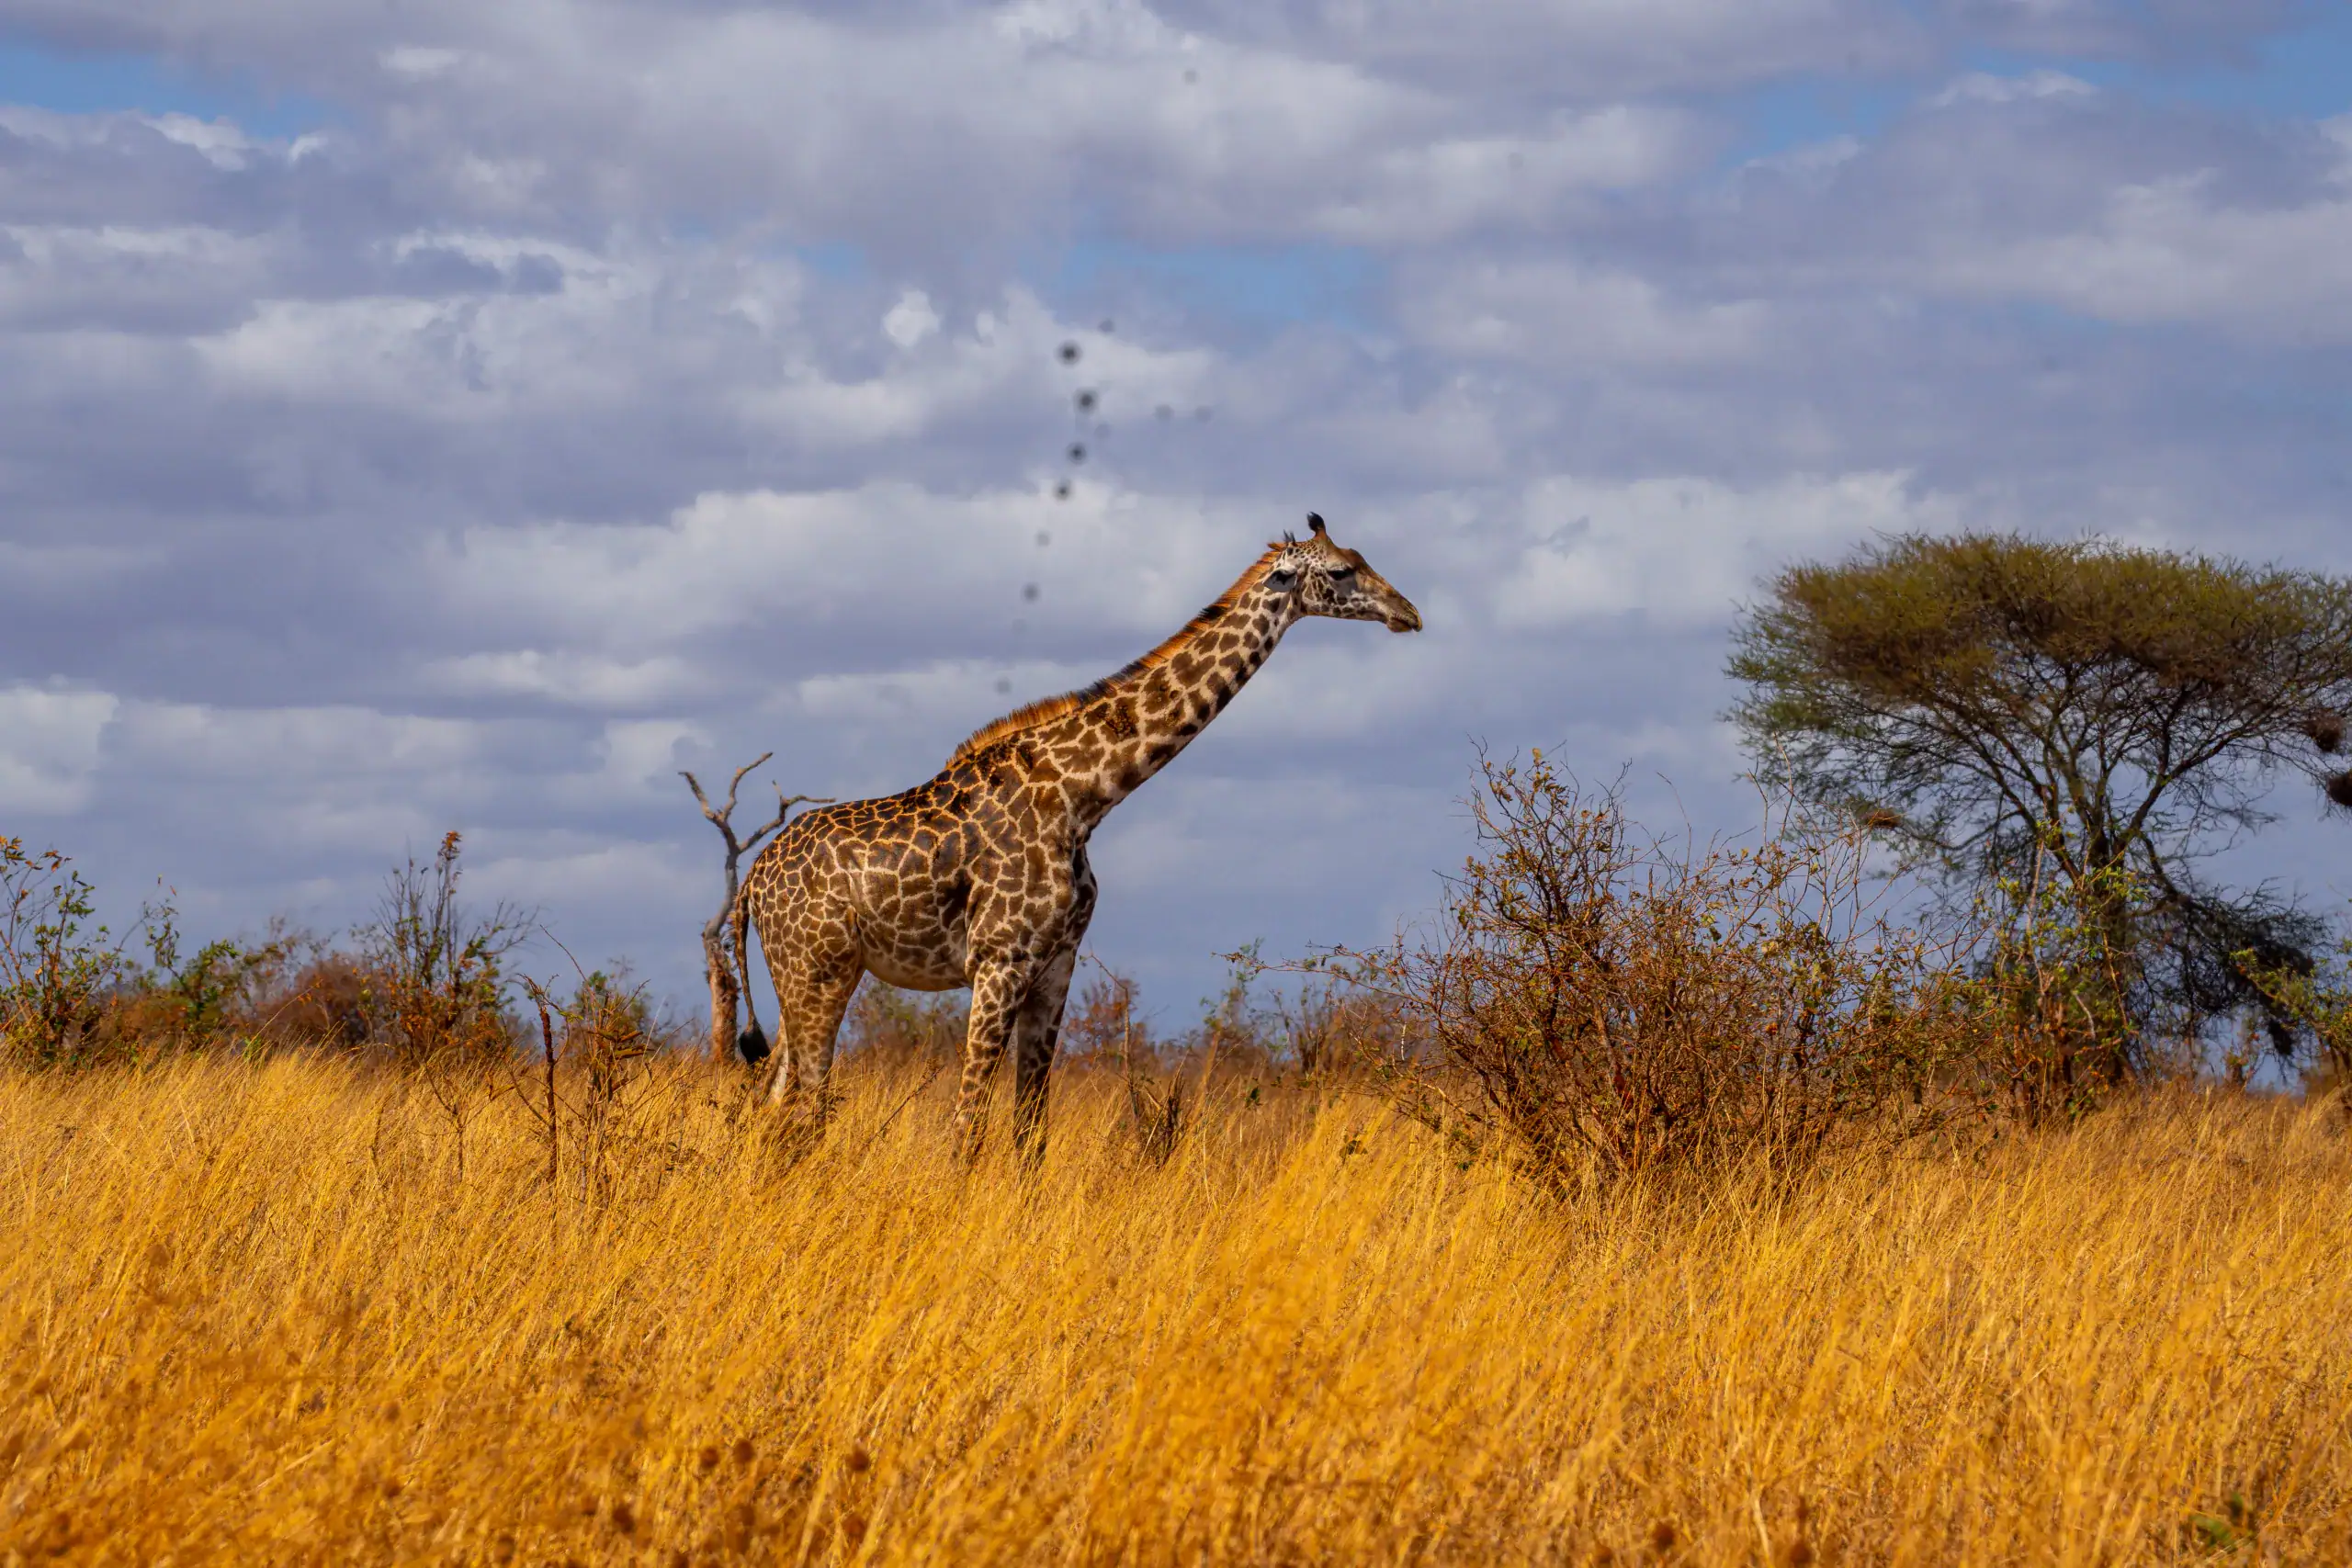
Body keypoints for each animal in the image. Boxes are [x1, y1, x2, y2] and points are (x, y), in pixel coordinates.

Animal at [732, 514, 1421, 1164]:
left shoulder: (1055, 964)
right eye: (1341, 571)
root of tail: (752, 883)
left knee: (775, 1103)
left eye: (1360, 558)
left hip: (804, 979)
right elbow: (966, 1129)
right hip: (819, 974)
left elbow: (1029, 1131)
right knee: (804, 1108)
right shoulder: (1000, 961)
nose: (1408, 613)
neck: (1082, 798)